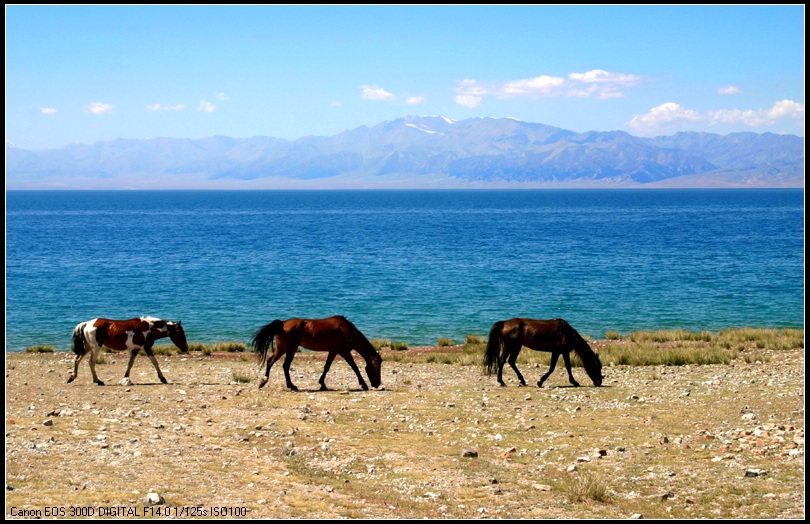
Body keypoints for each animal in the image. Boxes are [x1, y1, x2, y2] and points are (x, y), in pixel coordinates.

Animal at [249, 314, 382, 390]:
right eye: (377, 367)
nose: (377, 384)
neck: (347, 330)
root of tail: (282, 324)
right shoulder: (343, 351)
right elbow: (354, 367)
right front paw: (363, 384)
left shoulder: (333, 351)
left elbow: (326, 367)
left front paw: (322, 384)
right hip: (290, 349)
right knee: (285, 366)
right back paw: (292, 386)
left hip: (281, 349)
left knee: (270, 361)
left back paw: (263, 381)